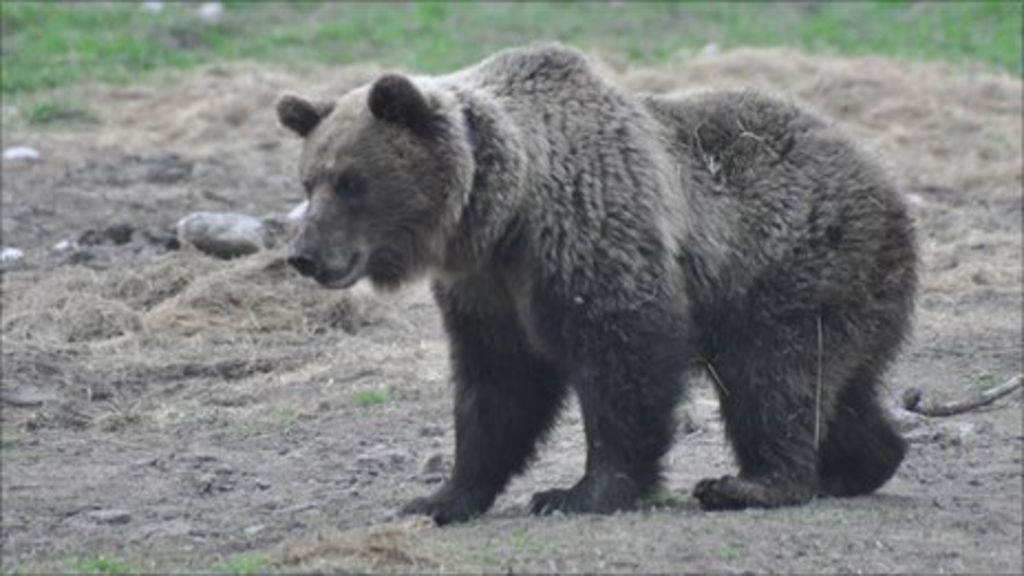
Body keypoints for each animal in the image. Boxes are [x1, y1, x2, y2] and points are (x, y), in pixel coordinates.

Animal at [276, 43, 917, 525]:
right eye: (309, 181)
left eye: (351, 182)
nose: (303, 255)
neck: (501, 213)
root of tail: (885, 179)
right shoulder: (487, 291)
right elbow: (496, 389)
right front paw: (439, 498)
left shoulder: (589, 234)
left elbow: (623, 361)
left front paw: (577, 492)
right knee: (838, 386)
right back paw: (859, 463)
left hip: (791, 263)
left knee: (771, 374)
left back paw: (752, 483)